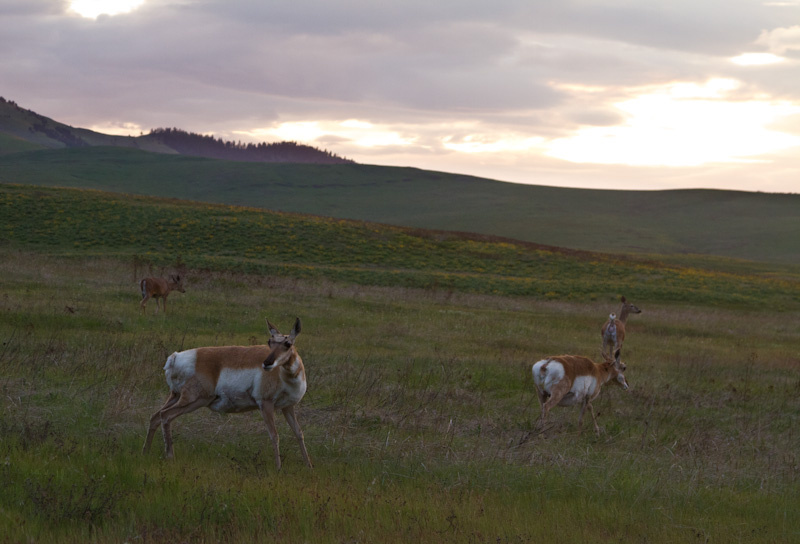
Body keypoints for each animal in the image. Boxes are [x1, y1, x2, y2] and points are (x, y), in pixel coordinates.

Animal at [142, 316, 310, 470]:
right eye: (270, 342)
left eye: (287, 344)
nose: (267, 363)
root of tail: (175, 357)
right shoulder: (266, 404)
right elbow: (274, 435)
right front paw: (278, 468)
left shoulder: (287, 407)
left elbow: (299, 433)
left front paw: (309, 466)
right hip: (194, 400)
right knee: (165, 416)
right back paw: (170, 456)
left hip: (175, 396)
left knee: (155, 416)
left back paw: (146, 452)